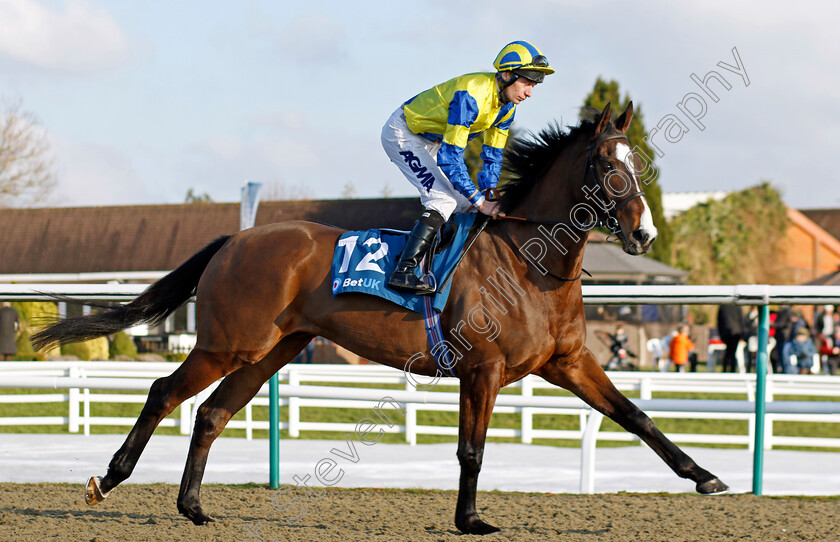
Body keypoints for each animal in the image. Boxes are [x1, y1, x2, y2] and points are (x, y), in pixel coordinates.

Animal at [32, 104, 728, 536]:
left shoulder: (569, 362)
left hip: (274, 349)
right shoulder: (483, 368)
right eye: (610, 168)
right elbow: (472, 450)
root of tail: (235, 238)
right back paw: (109, 481)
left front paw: (705, 477)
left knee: (210, 412)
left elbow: (637, 417)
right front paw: (470, 520)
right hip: (230, 342)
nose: (644, 233)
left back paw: (194, 508)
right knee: (163, 392)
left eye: (641, 164)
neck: (530, 261)